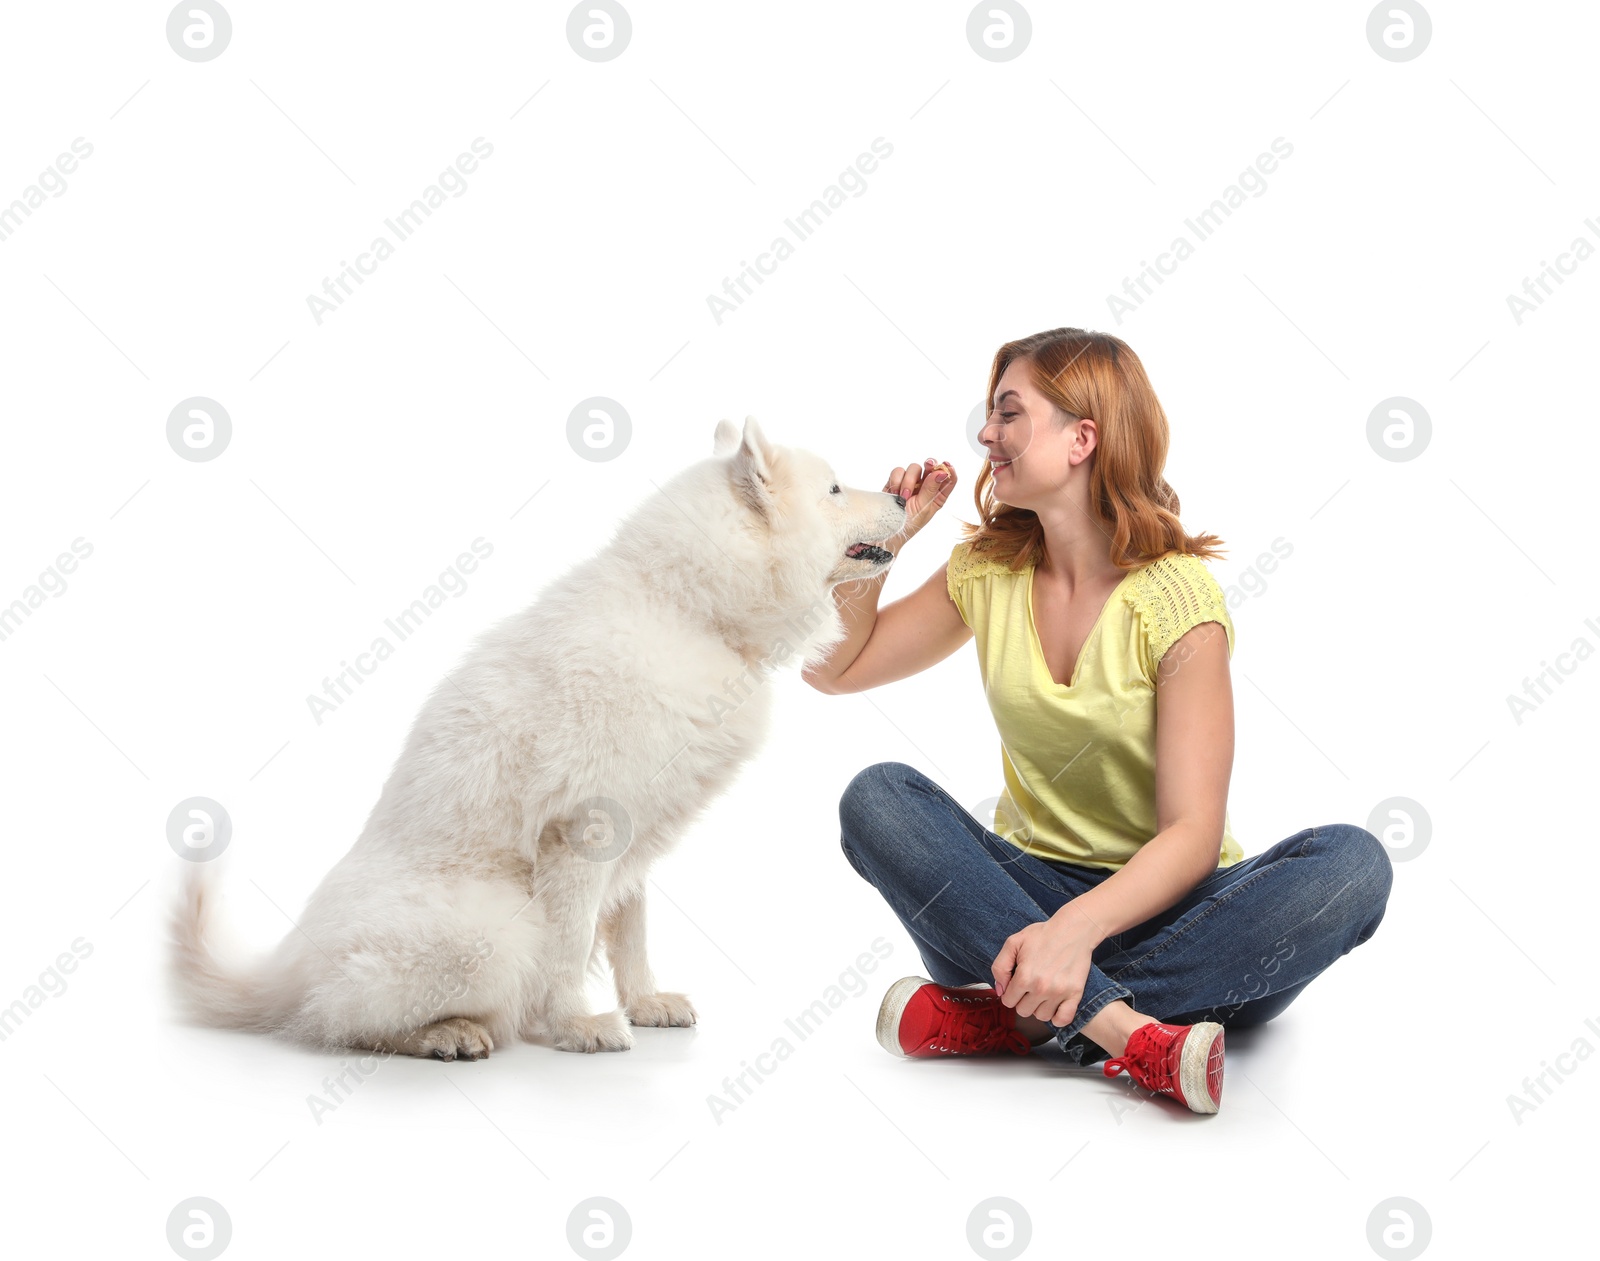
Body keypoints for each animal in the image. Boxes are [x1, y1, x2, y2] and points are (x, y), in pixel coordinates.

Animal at [172, 419, 915, 1056]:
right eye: (835, 489)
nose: (904, 497)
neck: (684, 609)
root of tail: (289, 966)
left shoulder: (637, 831)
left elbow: (631, 930)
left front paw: (645, 1002)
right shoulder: (583, 831)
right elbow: (572, 941)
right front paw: (579, 1025)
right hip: (491, 925)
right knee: (340, 1019)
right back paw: (446, 1033)